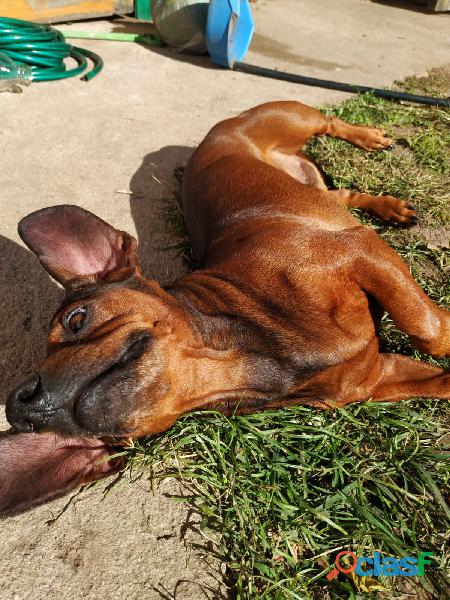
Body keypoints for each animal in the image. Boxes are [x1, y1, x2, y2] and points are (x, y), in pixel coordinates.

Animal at [0, 103, 450, 516]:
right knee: (343, 195)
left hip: (292, 119)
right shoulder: (378, 379)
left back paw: (370, 138)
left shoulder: (360, 251)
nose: (23, 403)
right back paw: (388, 205)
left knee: (329, 122)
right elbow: (437, 372)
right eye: (32, 425)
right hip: (317, 191)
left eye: (75, 319)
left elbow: (429, 330)